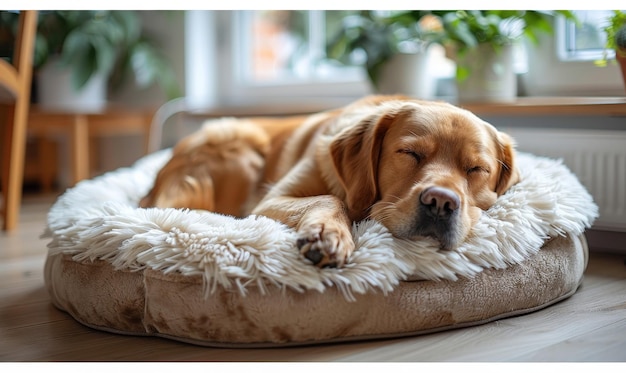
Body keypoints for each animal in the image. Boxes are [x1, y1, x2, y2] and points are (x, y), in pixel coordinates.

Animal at [140, 94, 516, 266]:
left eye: (476, 169)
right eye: (410, 153)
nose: (440, 202)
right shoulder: (271, 200)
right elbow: (330, 198)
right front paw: (327, 233)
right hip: (237, 145)